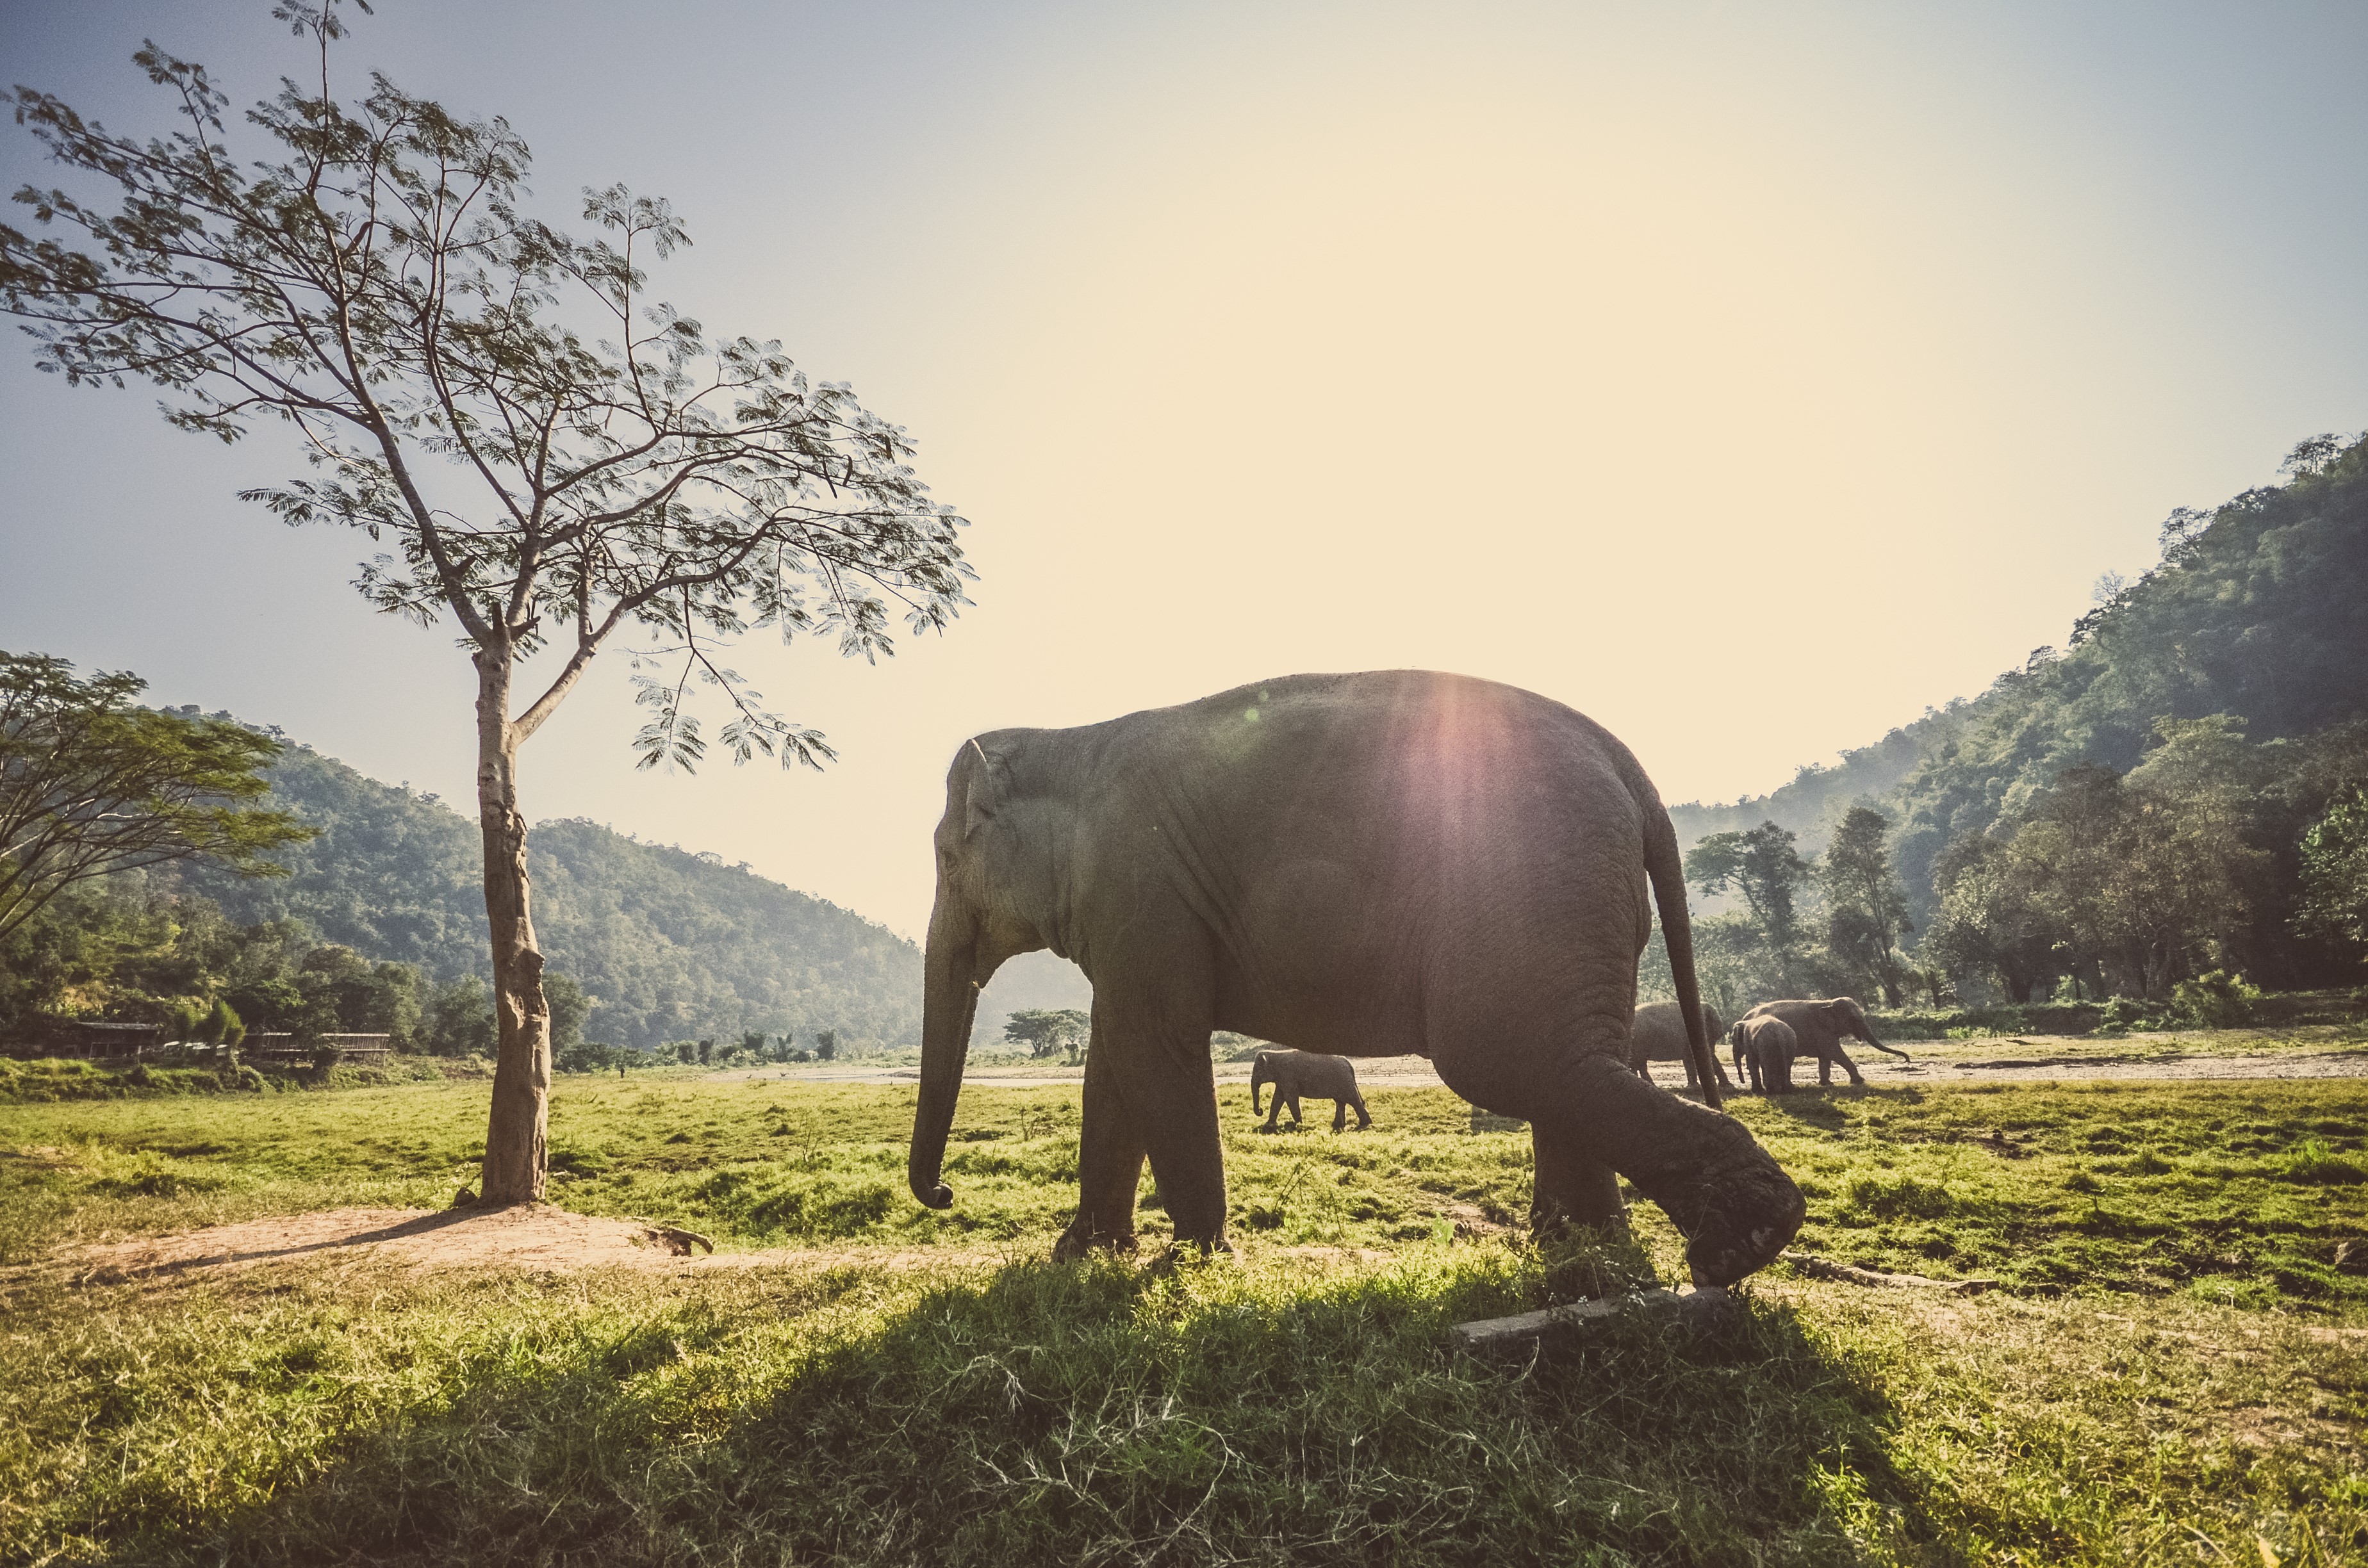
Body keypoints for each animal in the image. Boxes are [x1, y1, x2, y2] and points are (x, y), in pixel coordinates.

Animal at [1250, 1049, 1372, 1132]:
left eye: (1257, 1071)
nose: (1260, 1110)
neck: (1274, 1054)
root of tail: (1348, 1063)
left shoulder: (1287, 1076)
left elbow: (1290, 1097)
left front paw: (1299, 1125)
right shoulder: (1282, 1078)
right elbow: (1278, 1098)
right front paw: (1269, 1125)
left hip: (1344, 1081)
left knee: (1352, 1100)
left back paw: (1365, 1124)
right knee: (1341, 1101)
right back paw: (1337, 1125)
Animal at [1629, 1000, 1731, 1091]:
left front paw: (1727, 1086)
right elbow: (1691, 1059)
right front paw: (1693, 1087)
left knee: (1637, 1064)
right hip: (1639, 1042)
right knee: (1639, 1063)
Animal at [1732, 997, 1908, 1087]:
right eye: (1853, 1019)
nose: (1907, 1059)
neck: (1827, 1003)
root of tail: (1744, 1016)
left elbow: (1826, 1057)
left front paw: (1827, 1084)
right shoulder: (1821, 1031)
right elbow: (1834, 1052)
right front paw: (1860, 1081)